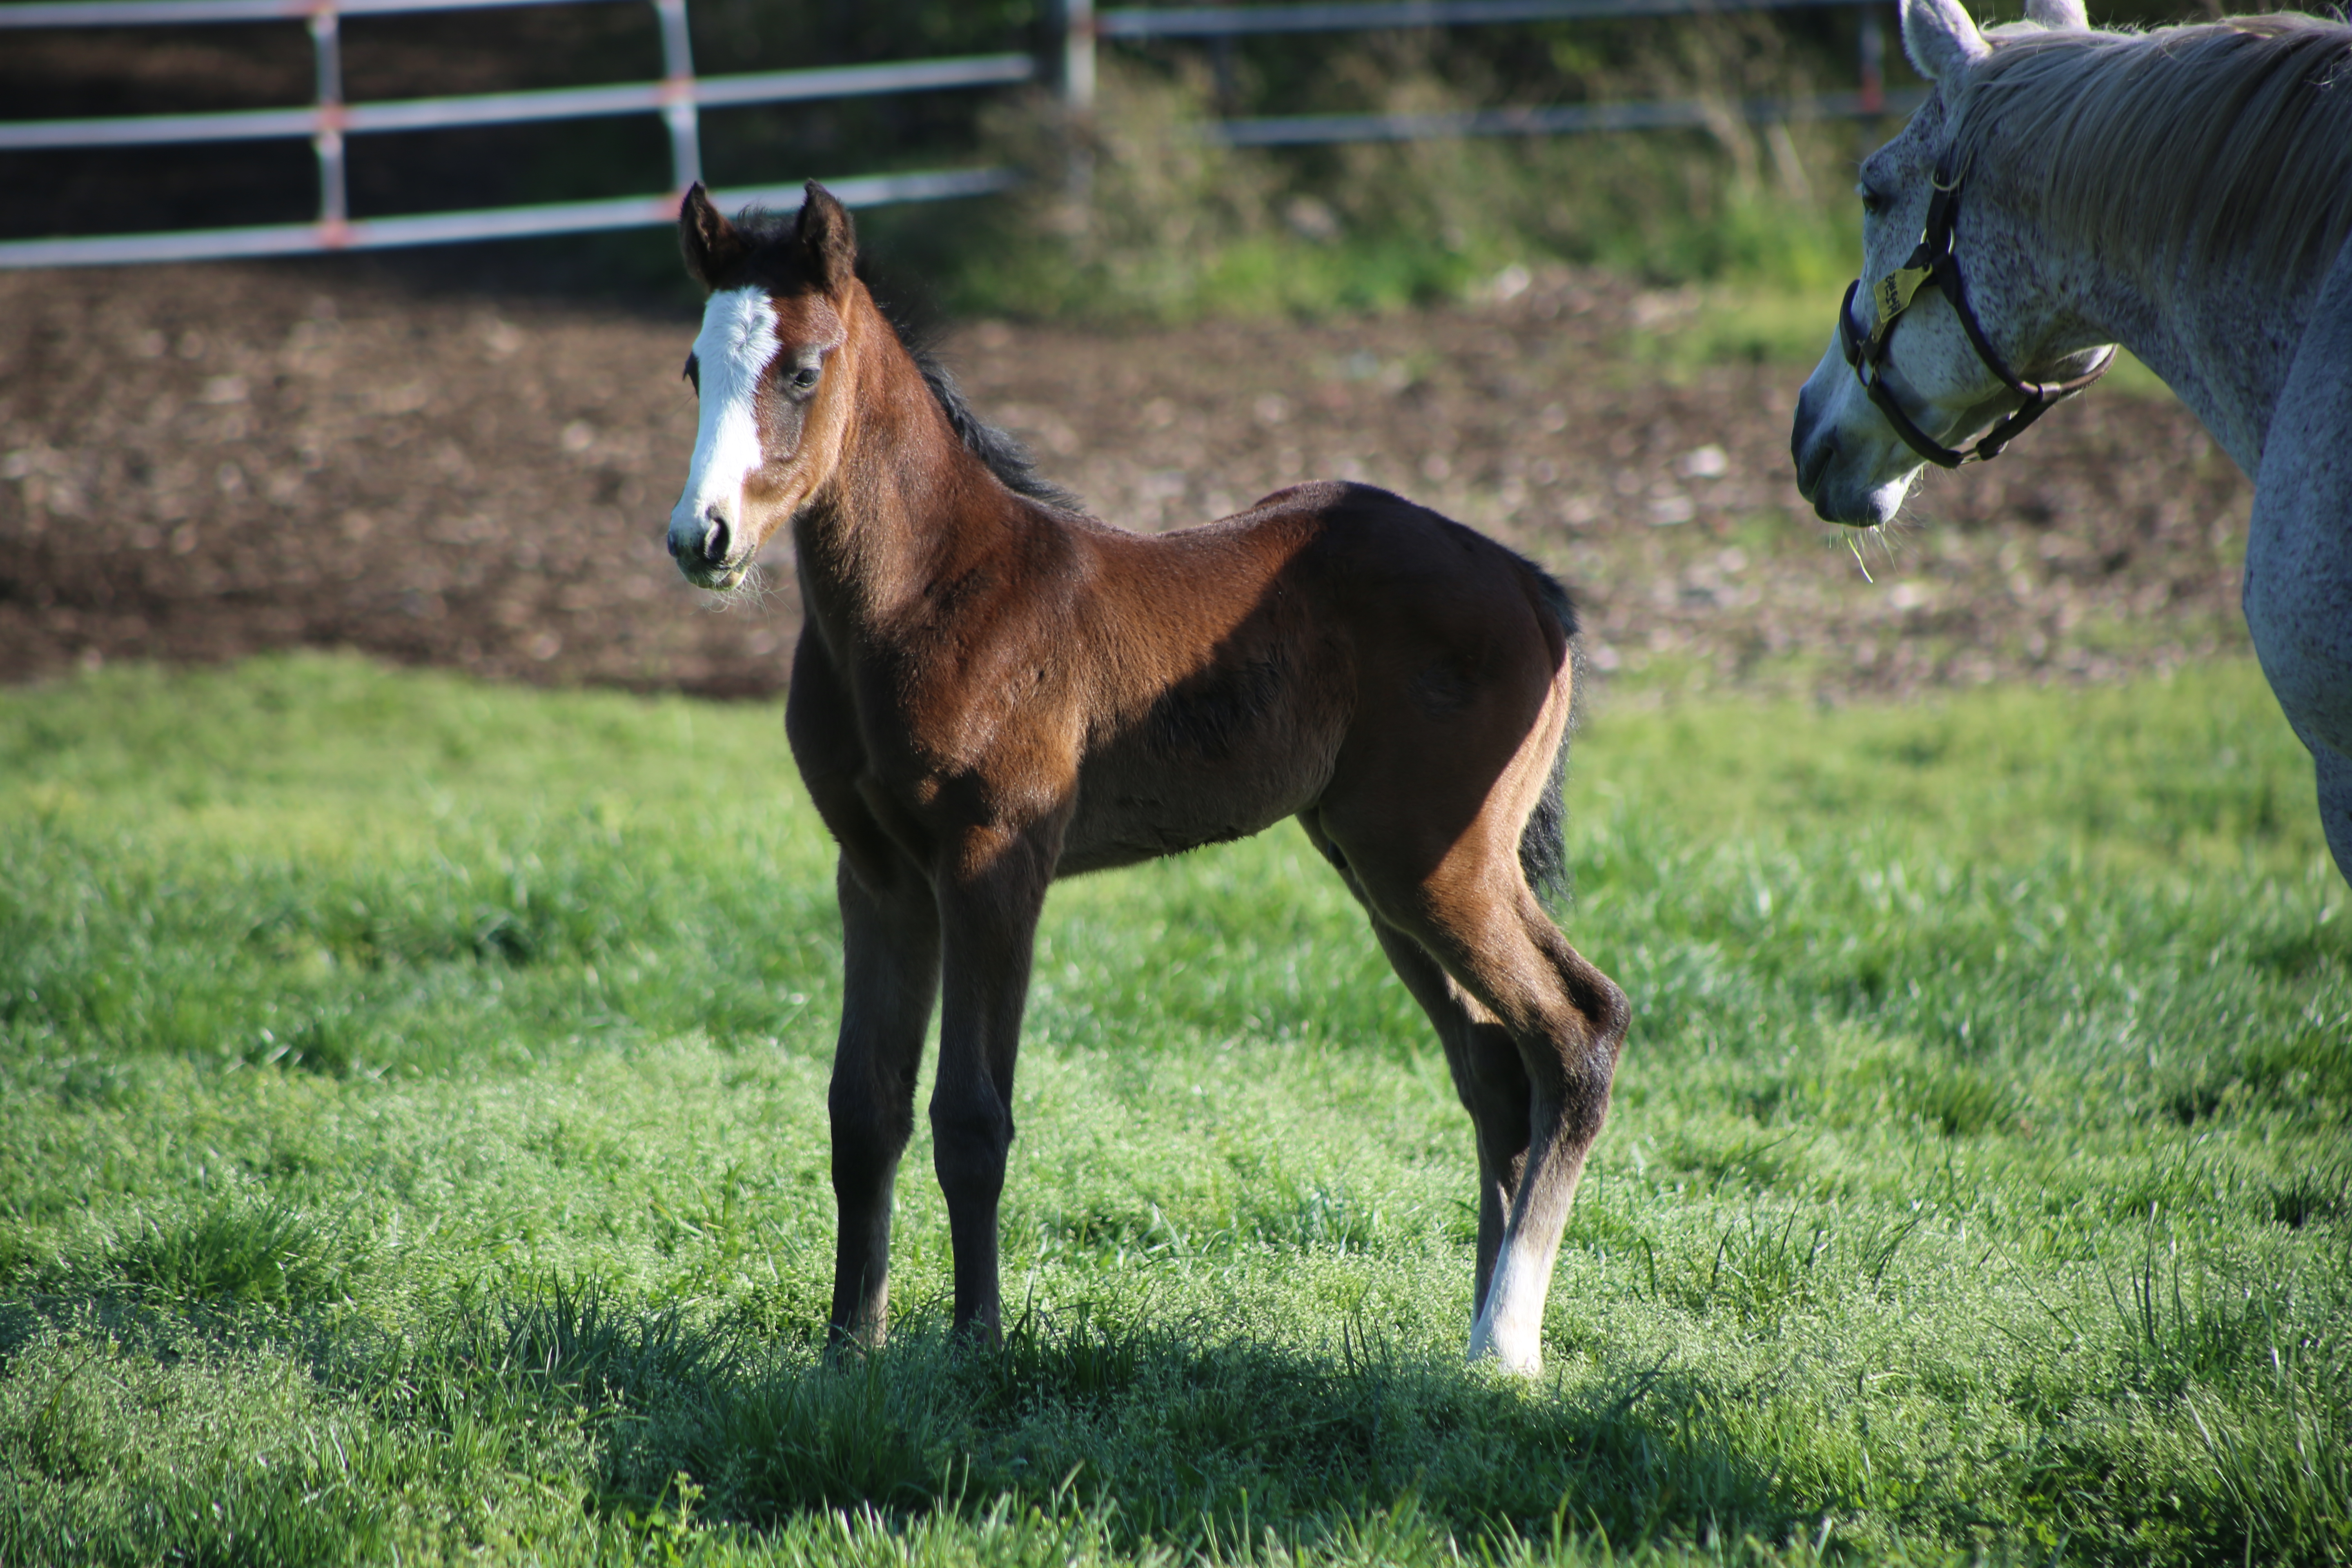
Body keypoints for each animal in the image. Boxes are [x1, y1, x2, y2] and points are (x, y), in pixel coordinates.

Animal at [654, 181, 1627, 1373]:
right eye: (694, 369)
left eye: (800, 370)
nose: (701, 538)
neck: (930, 593)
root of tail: (1528, 584)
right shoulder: (878, 874)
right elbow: (862, 1110)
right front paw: (848, 1353)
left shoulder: (993, 863)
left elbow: (971, 1115)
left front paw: (977, 1347)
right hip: (1377, 866)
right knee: (1496, 1066)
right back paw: (1474, 1327)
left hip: (1437, 860)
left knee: (1577, 1029)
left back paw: (1506, 1343)